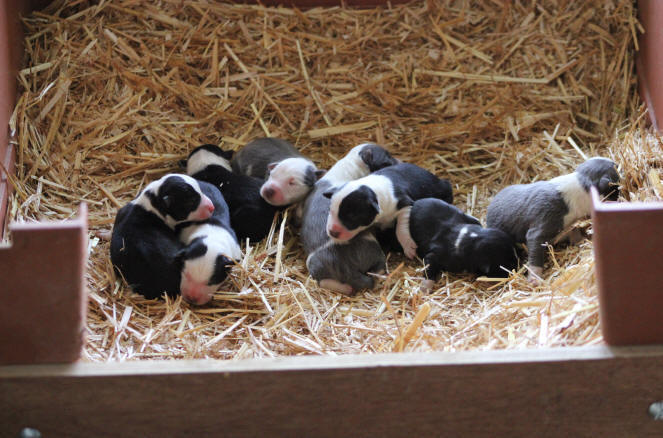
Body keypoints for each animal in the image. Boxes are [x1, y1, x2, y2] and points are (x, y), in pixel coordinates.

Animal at [324, 162, 454, 258]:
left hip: (442, 188)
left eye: (352, 216)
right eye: (330, 210)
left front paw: (409, 247)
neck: (374, 191)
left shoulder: (406, 204)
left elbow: (400, 228)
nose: (332, 232)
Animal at [486, 156, 620, 282]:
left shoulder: (568, 225)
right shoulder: (544, 221)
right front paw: (534, 279)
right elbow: (535, 248)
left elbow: (574, 232)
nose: (617, 163)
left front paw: (581, 240)